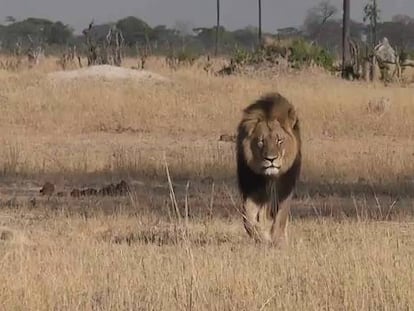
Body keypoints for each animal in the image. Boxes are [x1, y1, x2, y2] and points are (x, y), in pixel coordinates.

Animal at [236, 92, 300, 249]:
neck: (270, 178)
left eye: (279, 140)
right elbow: (247, 218)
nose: (271, 159)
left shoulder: (284, 191)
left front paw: (278, 241)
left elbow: (280, 218)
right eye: (261, 141)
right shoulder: (253, 191)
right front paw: (262, 237)